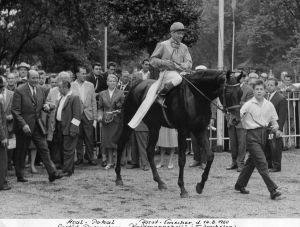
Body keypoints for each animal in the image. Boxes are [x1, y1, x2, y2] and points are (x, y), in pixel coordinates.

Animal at [115, 68, 241, 197]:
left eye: (240, 93)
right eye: (228, 93)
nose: (235, 120)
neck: (195, 96)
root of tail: (135, 86)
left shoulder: (200, 130)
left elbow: (210, 156)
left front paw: (200, 186)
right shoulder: (182, 131)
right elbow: (182, 159)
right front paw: (182, 188)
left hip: (154, 126)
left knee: (149, 151)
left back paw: (160, 182)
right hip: (129, 122)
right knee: (120, 144)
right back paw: (118, 178)